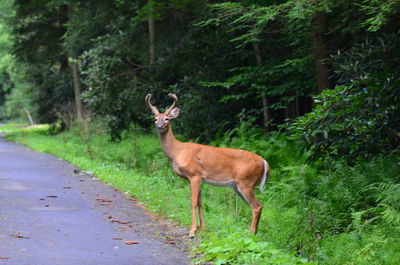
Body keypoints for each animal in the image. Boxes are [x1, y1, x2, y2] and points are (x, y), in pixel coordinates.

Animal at [145, 93, 270, 237]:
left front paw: (192, 230)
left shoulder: (194, 174)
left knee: (257, 206)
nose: (160, 126)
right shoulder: (198, 178)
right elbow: (200, 203)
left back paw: (250, 234)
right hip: (238, 185)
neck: (177, 151)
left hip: (246, 181)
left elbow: (193, 202)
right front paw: (202, 229)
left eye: (166, 119)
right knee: (256, 206)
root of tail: (264, 162)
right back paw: (254, 233)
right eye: (155, 119)